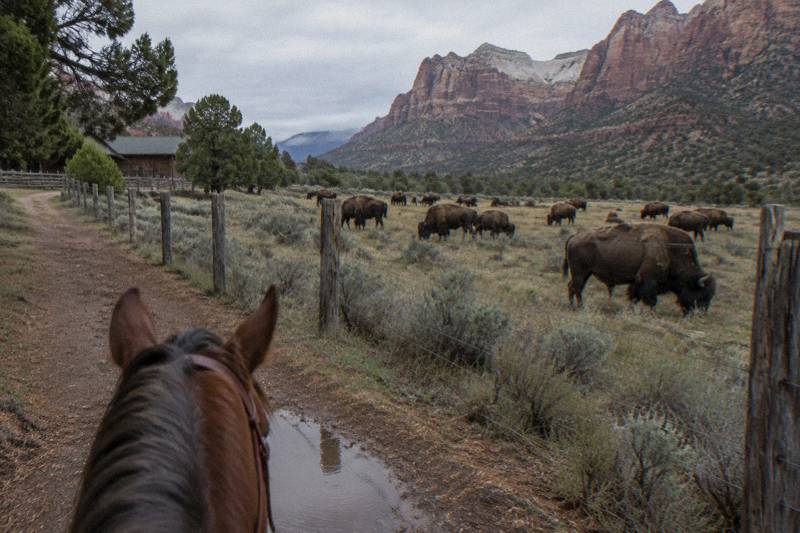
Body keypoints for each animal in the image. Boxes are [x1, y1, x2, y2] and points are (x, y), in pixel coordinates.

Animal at [562, 224, 715, 313]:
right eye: (702, 294)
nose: (701, 313)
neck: (670, 250)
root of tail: (575, 236)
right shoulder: (648, 281)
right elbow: (651, 300)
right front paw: (652, 314)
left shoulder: (637, 282)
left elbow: (633, 297)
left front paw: (631, 311)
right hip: (580, 272)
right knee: (574, 287)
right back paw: (576, 307)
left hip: (585, 273)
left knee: (575, 288)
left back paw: (577, 306)